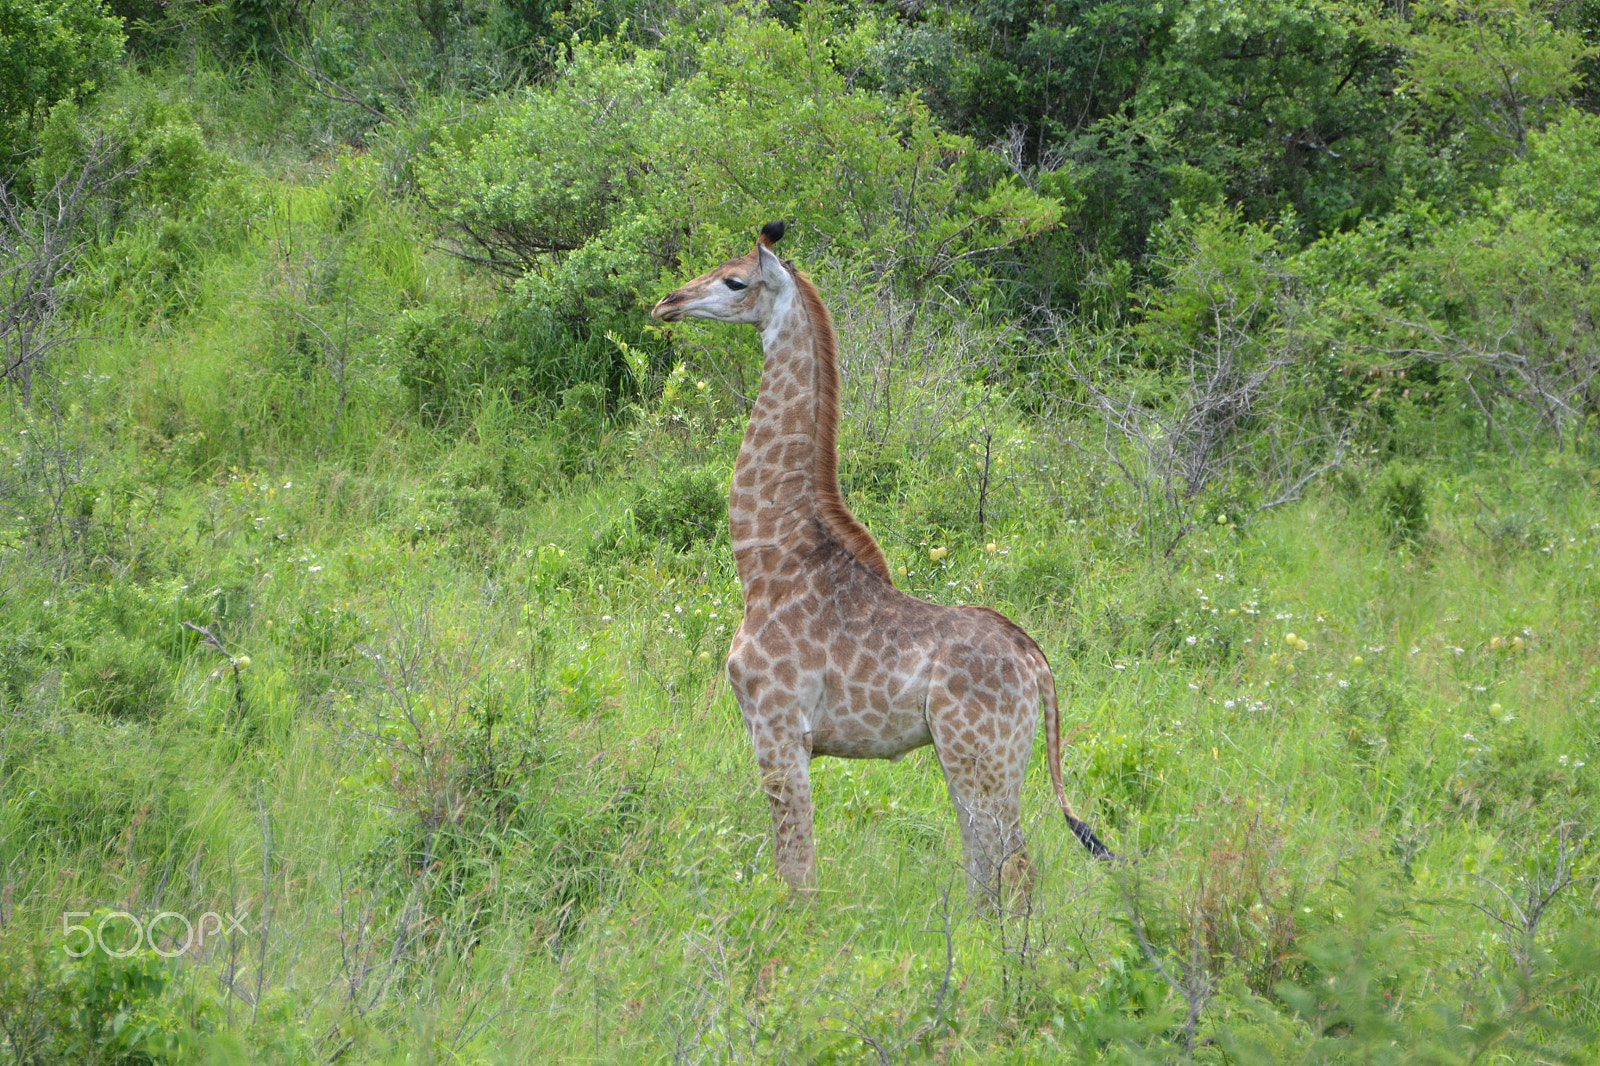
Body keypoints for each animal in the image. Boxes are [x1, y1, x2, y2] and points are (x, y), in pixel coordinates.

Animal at [650, 222, 1113, 903]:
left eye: (735, 280)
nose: (667, 304)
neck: (766, 561)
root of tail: (1039, 666)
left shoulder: (778, 730)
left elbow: (797, 871)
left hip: (984, 758)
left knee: (1016, 868)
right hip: (968, 758)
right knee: (985, 870)